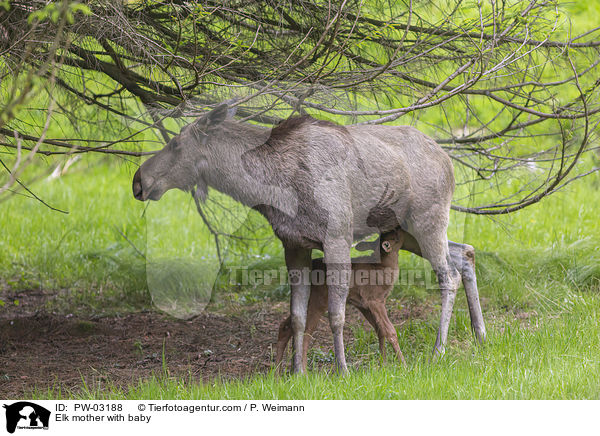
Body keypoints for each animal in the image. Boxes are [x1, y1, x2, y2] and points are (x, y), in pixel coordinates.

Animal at [276, 228, 408, 372]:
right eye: (395, 236)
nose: (399, 228)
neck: (382, 268)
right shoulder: (374, 300)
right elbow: (390, 331)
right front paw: (404, 365)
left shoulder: (364, 304)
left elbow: (380, 330)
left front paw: (384, 364)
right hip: (318, 301)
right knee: (305, 332)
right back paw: (302, 372)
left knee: (286, 326)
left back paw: (277, 372)